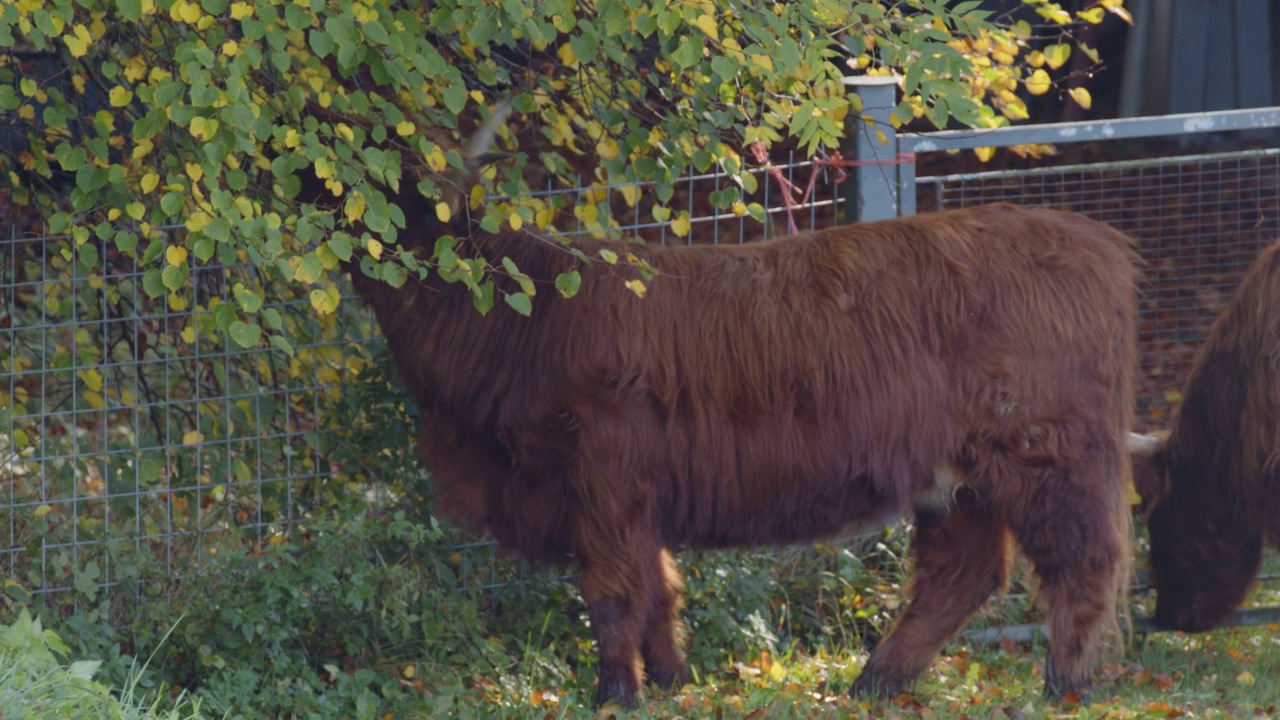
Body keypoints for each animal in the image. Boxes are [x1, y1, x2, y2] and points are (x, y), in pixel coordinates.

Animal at [299, 109, 1141, 702]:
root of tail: (1092, 240)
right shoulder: (634, 495)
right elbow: (659, 590)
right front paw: (672, 682)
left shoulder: (603, 478)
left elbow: (612, 595)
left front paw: (616, 693)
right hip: (959, 478)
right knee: (961, 573)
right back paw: (876, 680)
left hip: (1045, 453)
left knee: (1081, 560)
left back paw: (1063, 684)